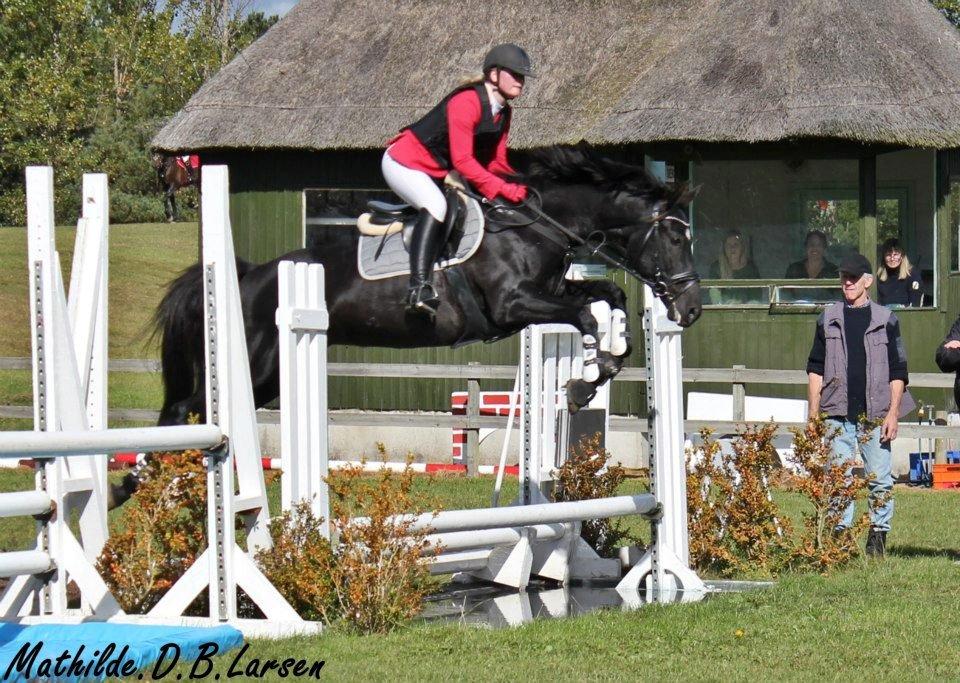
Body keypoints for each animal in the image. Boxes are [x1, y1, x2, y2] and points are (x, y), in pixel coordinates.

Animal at [154, 146, 700, 428]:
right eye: (676, 237)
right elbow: (585, 314)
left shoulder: (549, 293)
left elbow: (609, 296)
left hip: (265, 378)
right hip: (256, 364)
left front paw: (606, 363)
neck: (534, 226)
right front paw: (587, 378)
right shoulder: (513, 306)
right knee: (189, 408)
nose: (691, 309)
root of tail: (248, 275)